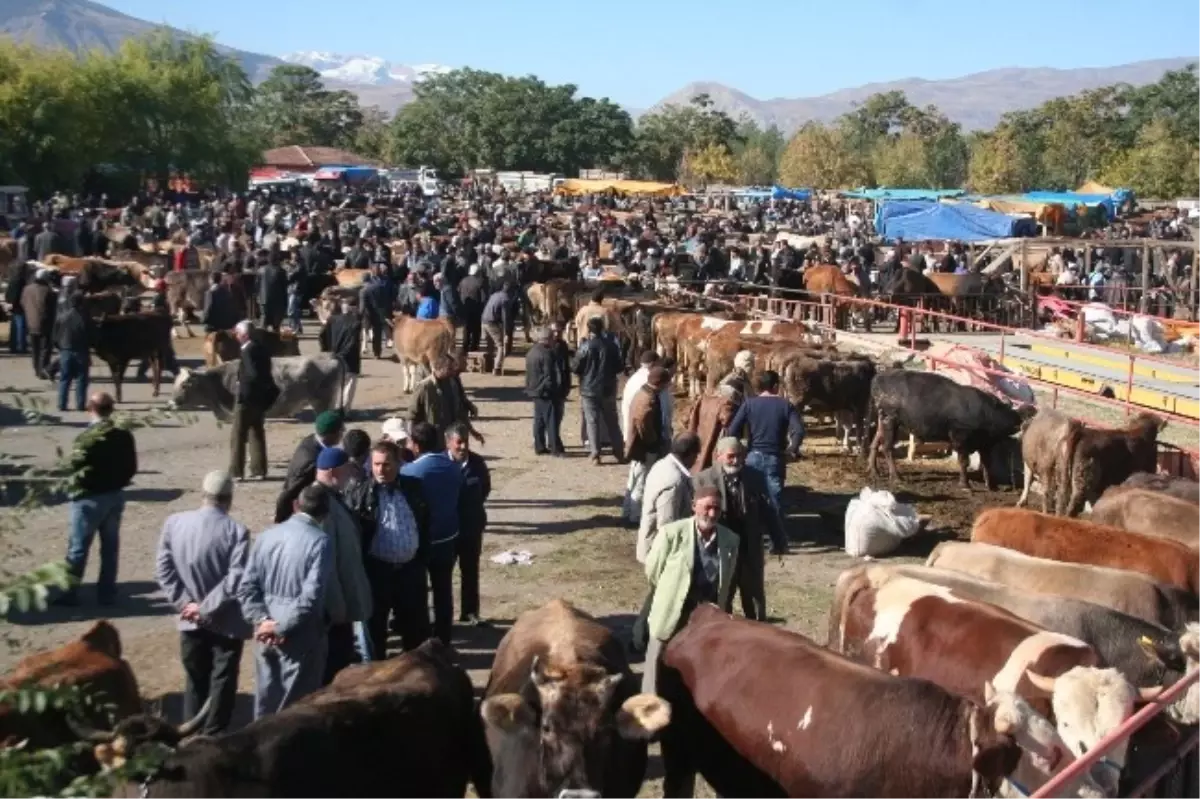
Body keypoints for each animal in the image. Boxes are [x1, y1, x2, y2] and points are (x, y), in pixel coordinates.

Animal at [864, 369, 1032, 489]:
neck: (987, 413)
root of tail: (880, 376)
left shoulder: (985, 445)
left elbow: (987, 463)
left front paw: (991, 485)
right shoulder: (960, 438)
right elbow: (964, 461)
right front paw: (965, 484)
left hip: (884, 421)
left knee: (875, 442)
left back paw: (874, 470)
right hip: (890, 421)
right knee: (887, 448)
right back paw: (896, 477)